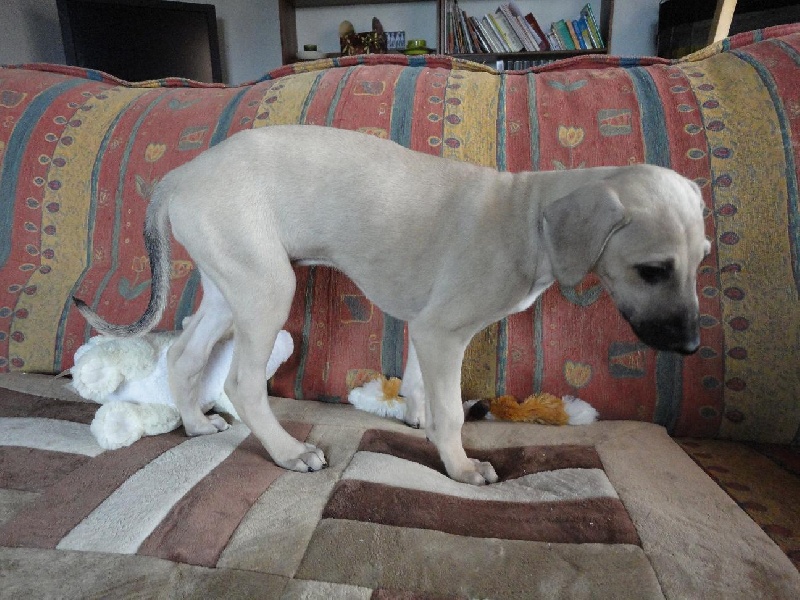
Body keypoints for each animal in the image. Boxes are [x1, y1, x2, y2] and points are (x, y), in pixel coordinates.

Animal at [75, 125, 710, 485]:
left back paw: (193, 422)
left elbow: (419, 384)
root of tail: (180, 174)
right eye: (652, 270)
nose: (692, 346)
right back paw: (288, 452)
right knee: (241, 382)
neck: (529, 215)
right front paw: (460, 465)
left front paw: (415, 417)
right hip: (266, 288)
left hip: (230, 289)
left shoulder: (422, 327)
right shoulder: (442, 332)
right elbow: (452, 408)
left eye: (701, 259)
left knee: (183, 356)